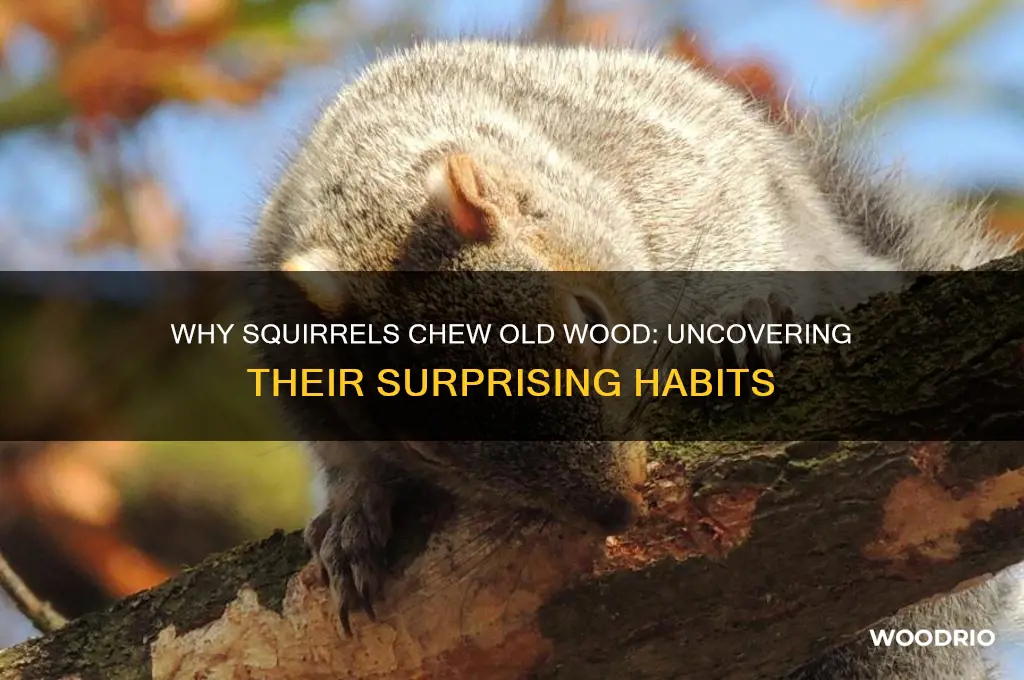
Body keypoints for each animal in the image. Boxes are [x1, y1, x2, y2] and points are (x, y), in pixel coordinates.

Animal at [249, 39, 1022, 679]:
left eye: (592, 322)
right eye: (426, 448)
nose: (618, 511)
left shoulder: (679, 174)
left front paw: (746, 322)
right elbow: (343, 459)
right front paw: (353, 516)